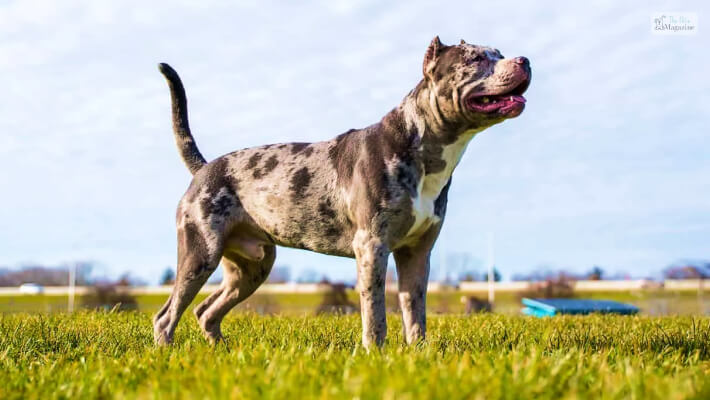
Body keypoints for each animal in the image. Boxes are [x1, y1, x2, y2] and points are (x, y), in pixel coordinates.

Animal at [156, 38, 536, 350]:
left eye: (499, 53)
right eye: (475, 58)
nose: (525, 60)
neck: (422, 145)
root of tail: (205, 168)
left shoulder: (417, 252)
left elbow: (415, 311)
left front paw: (420, 353)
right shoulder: (372, 246)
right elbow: (375, 310)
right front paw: (375, 353)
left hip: (253, 266)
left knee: (206, 311)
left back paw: (222, 352)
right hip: (200, 253)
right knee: (167, 315)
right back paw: (168, 353)